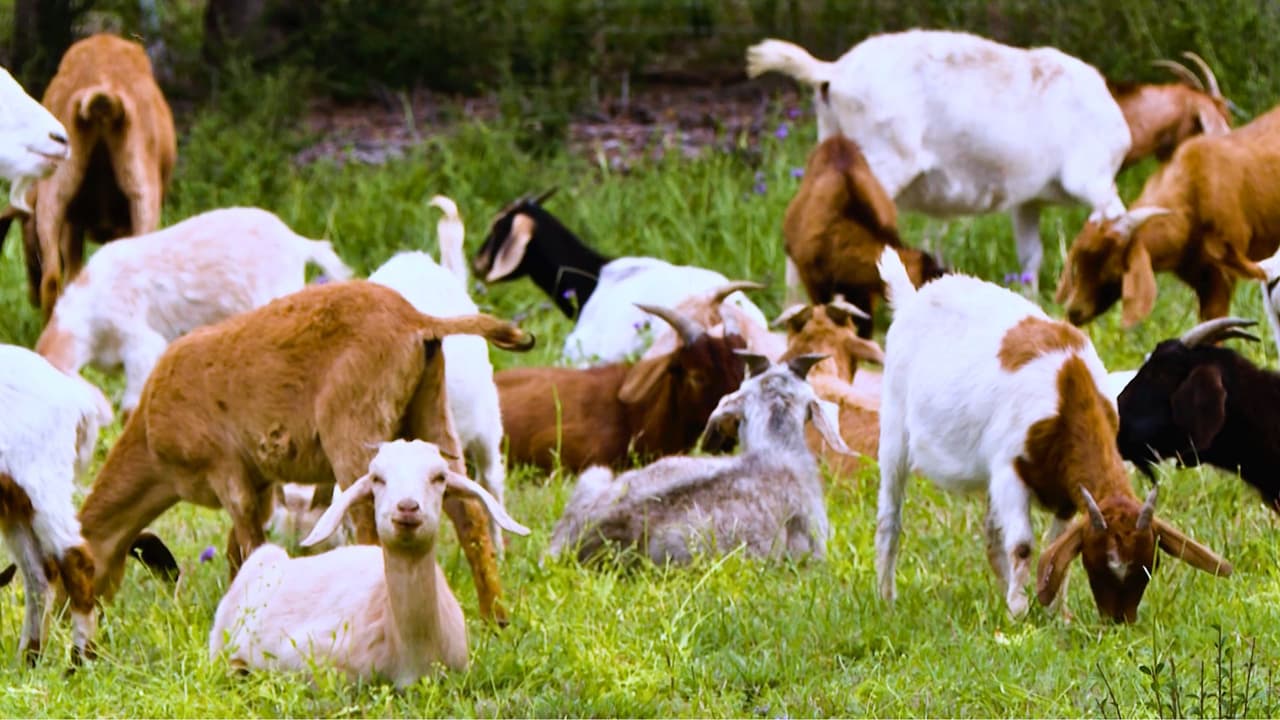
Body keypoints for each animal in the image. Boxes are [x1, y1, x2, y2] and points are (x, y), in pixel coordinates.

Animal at [0, 345, 111, 664]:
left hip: (42, 479)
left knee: (75, 559)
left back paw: (80, 661)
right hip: (14, 502)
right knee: (38, 574)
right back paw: (29, 661)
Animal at [73, 282, 534, 625]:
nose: (65, 621)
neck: (152, 442)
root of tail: (417, 322)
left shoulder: (226, 471)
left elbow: (249, 545)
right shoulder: (258, 479)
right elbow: (238, 548)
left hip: (354, 429)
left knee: (371, 529)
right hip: (429, 414)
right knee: (468, 512)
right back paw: (496, 619)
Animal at [875, 248, 1231, 623]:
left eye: (1150, 565)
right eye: (1098, 564)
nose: (1119, 622)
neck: (1069, 389)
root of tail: (912, 300)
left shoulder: (1066, 491)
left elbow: (1054, 545)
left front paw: (1056, 612)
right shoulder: (1009, 471)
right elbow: (1022, 545)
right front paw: (1019, 610)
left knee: (991, 533)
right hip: (894, 429)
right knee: (890, 519)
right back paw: (887, 599)